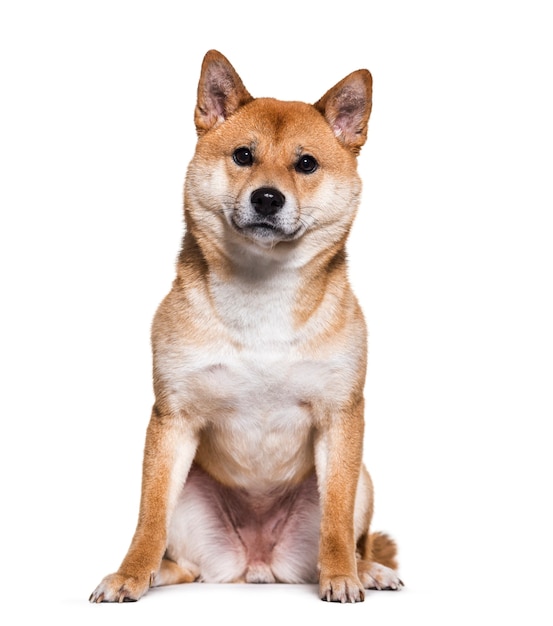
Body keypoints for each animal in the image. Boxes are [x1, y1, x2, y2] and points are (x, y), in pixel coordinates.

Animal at [89, 50, 402, 604]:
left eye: (306, 164)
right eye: (242, 155)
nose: (267, 198)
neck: (263, 291)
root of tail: (258, 564)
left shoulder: (341, 418)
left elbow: (338, 520)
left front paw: (342, 575)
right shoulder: (172, 420)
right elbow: (148, 518)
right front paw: (129, 574)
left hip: (363, 477)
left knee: (355, 534)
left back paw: (367, 570)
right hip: (190, 499)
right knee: (182, 560)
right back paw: (157, 573)